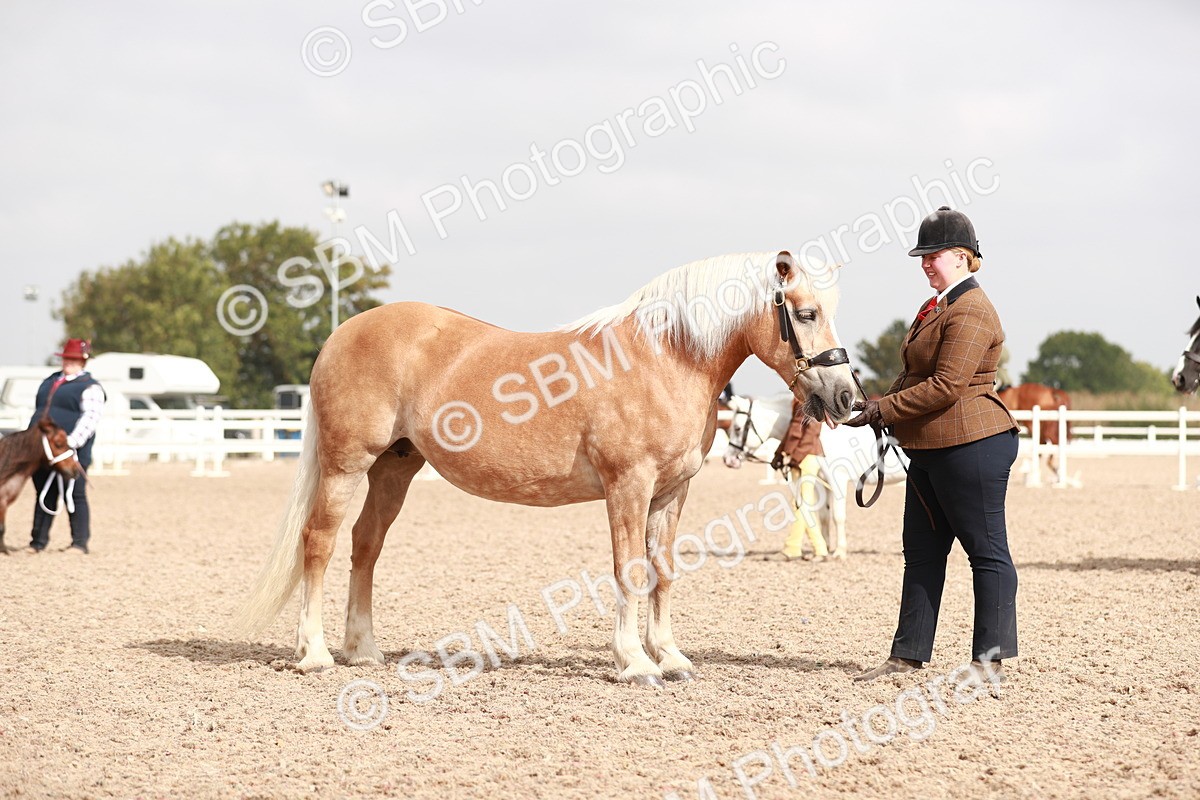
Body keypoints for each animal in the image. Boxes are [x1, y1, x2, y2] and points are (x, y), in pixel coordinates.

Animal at [236, 251, 858, 685]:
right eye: (805, 313)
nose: (846, 396)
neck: (668, 357)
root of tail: (343, 333)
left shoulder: (671, 492)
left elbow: (662, 570)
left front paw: (671, 657)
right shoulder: (628, 485)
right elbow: (629, 570)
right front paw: (635, 663)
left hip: (394, 469)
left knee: (365, 546)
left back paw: (362, 649)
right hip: (346, 465)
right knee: (318, 544)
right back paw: (315, 654)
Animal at [722, 392, 907, 559]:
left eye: (737, 428)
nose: (728, 459)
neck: (821, 437)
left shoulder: (838, 480)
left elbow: (838, 517)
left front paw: (839, 552)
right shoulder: (821, 483)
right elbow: (824, 516)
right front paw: (825, 549)